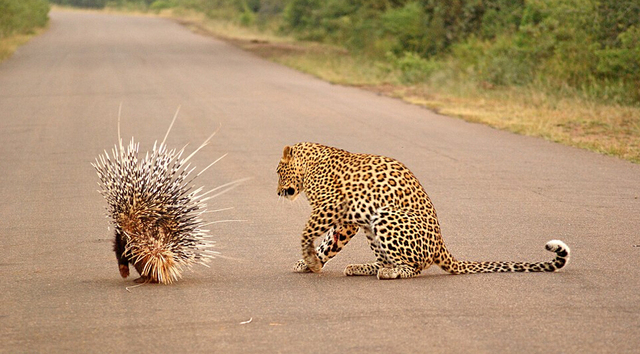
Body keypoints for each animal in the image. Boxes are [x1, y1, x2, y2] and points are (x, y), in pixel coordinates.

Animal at [276, 142, 568, 280]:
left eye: (278, 172)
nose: (278, 192)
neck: (310, 165)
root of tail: (440, 244)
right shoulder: (344, 219)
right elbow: (327, 241)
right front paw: (308, 262)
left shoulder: (335, 209)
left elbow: (309, 234)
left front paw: (311, 261)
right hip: (372, 226)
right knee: (385, 261)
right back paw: (363, 267)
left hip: (386, 217)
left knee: (415, 267)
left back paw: (392, 272)